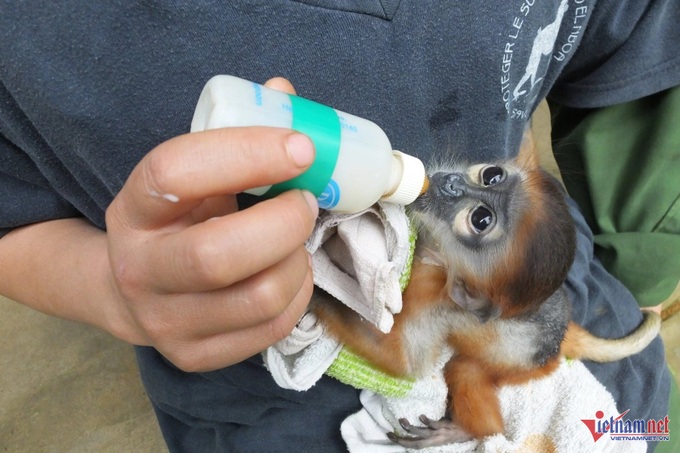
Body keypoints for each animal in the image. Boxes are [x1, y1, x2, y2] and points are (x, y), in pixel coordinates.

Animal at [312, 136, 660, 446]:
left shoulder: (440, 298)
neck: (438, 254)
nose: (453, 185)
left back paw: (466, 432)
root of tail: (559, 339)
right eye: (492, 176)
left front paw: (315, 292)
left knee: (464, 370)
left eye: (481, 219)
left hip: (520, 368)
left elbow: (407, 362)